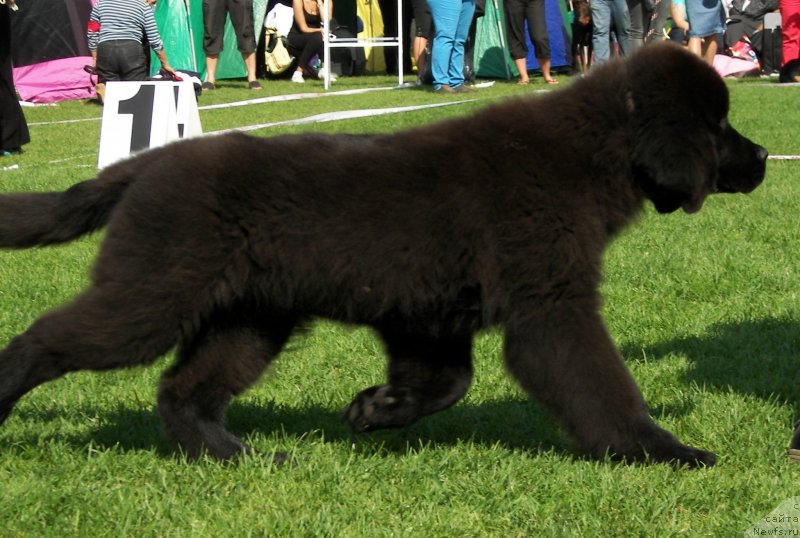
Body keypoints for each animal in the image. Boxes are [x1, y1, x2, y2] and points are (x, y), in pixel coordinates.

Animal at [0, 44, 768, 464]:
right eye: (719, 127)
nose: (762, 158)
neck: (591, 154)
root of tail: (144, 166)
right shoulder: (550, 305)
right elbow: (600, 386)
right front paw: (660, 451)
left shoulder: (429, 316)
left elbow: (447, 383)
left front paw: (374, 409)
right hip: (153, 294)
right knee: (49, 339)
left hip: (250, 320)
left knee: (183, 392)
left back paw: (244, 457)